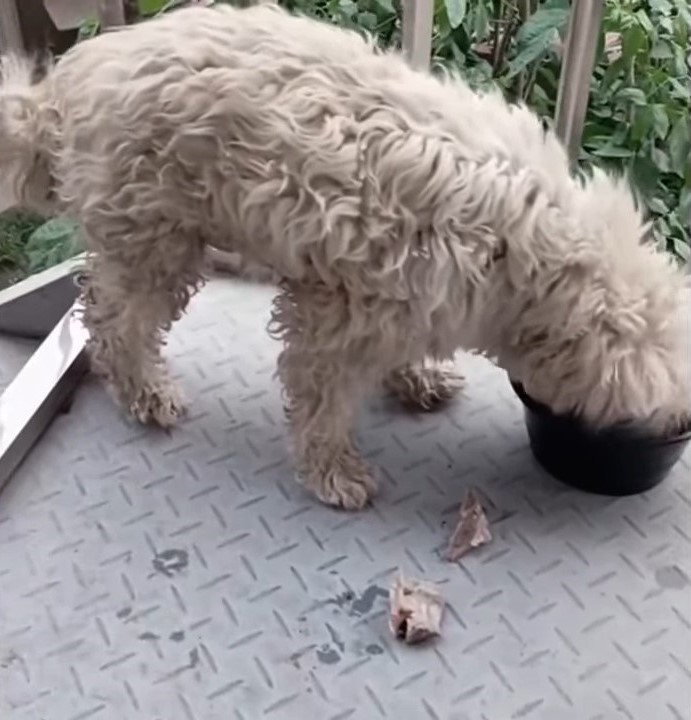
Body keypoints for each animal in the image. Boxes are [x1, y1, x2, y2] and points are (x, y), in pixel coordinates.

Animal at [0, 4, 688, 506]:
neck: (524, 250)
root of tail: (65, 87)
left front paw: (415, 380)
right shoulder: (340, 317)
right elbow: (321, 398)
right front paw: (333, 471)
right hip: (156, 240)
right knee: (116, 324)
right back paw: (146, 394)